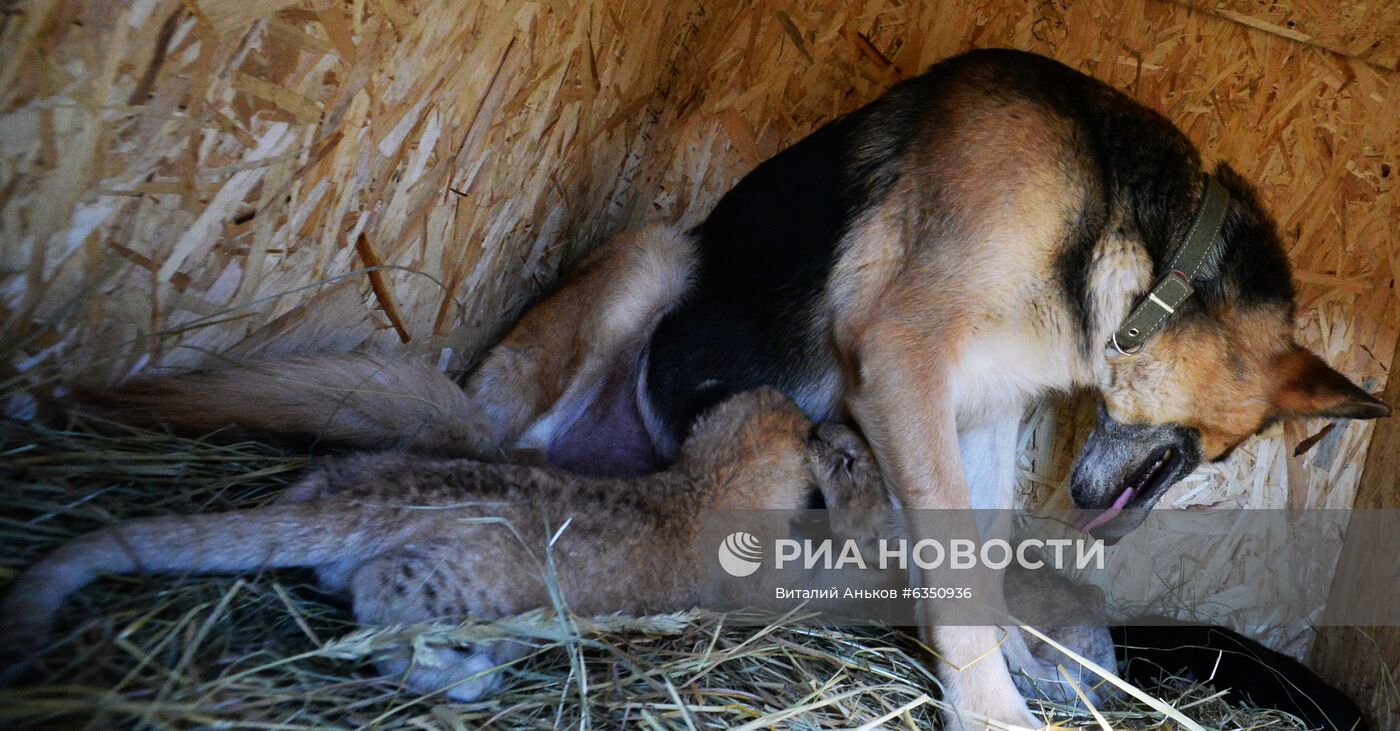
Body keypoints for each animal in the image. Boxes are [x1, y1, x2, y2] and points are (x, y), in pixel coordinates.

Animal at [71, 49, 1383, 722]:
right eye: (1222, 454)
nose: (1110, 522)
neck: (1132, 237)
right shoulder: (902, 360)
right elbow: (955, 583)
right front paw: (989, 705)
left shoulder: (987, 411)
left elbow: (978, 552)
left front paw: (1025, 658)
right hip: (653, 257)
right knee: (504, 447)